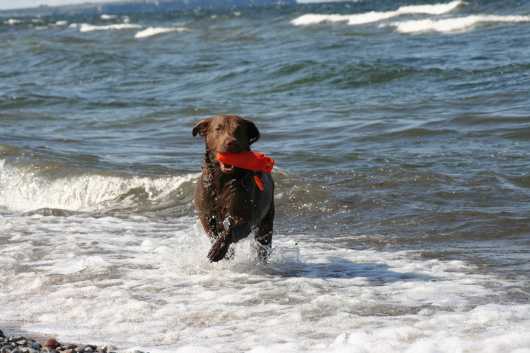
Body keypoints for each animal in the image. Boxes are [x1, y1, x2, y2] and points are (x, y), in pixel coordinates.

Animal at [194, 115, 276, 262]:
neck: (223, 180)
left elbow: (232, 229)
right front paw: (220, 249)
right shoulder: (206, 213)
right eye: (218, 129)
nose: (230, 143)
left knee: (263, 241)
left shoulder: (245, 214)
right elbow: (212, 231)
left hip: (267, 216)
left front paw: (218, 250)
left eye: (238, 129)